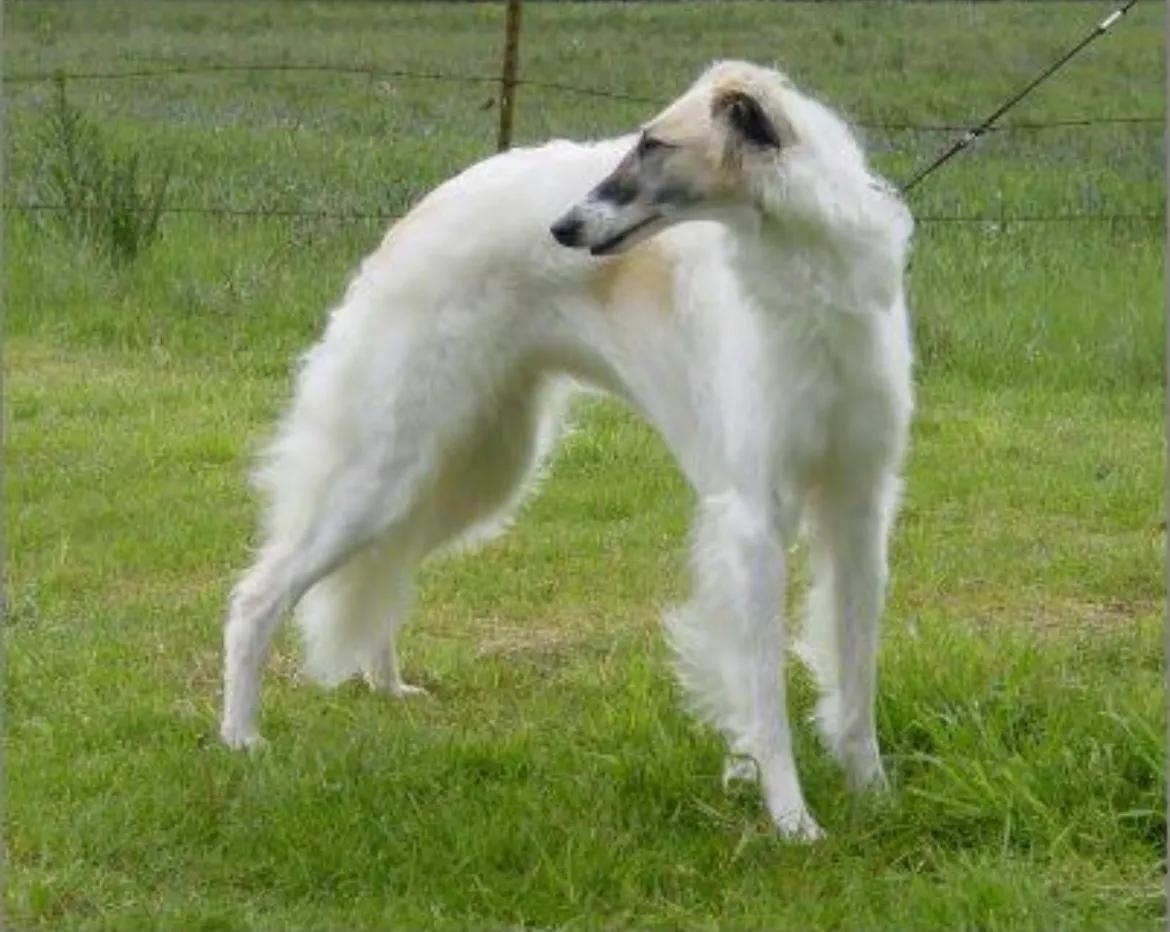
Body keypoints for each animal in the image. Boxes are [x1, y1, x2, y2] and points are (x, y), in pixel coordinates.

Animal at [221, 61, 913, 840]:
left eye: (654, 144)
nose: (563, 228)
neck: (808, 278)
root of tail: (423, 211)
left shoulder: (859, 506)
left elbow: (854, 677)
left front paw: (873, 794)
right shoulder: (751, 519)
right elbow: (764, 691)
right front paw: (792, 819)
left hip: (472, 468)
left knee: (386, 566)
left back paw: (387, 683)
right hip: (384, 470)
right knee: (257, 597)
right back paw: (239, 736)